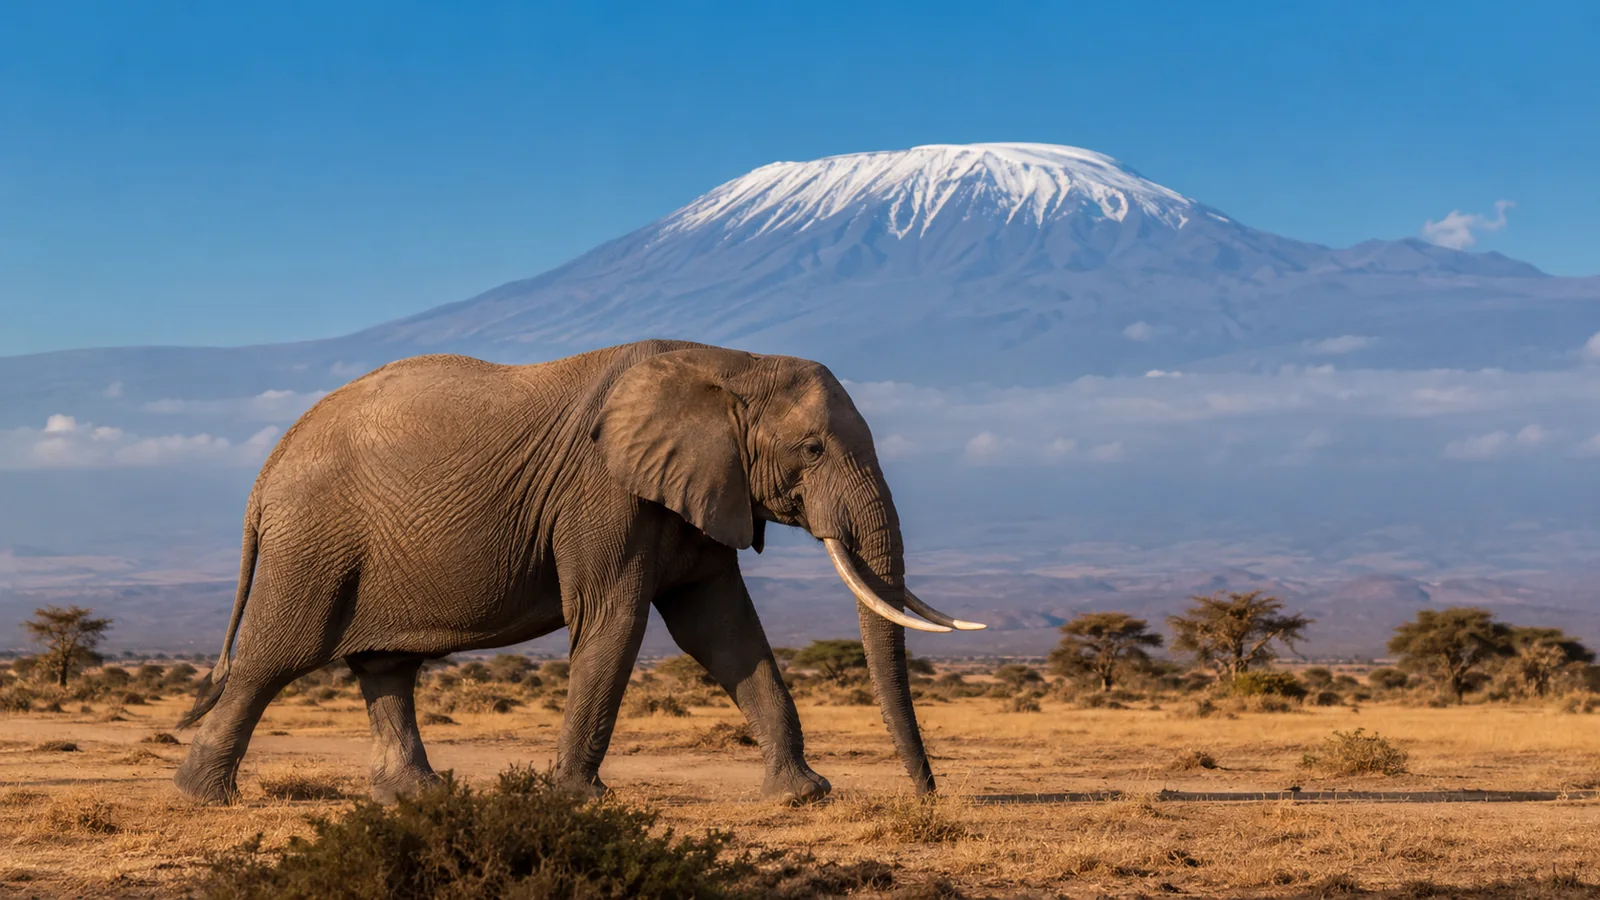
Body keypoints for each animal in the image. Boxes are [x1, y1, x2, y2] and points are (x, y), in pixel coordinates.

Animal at [172, 339, 983, 805]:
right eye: (812, 449)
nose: (928, 797)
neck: (729, 364)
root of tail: (265, 471)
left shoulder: (696, 489)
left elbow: (722, 632)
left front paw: (802, 797)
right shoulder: (601, 490)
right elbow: (614, 620)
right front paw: (578, 801)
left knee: (385, 667)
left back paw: (423, 799)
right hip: (314, 543)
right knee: (277, 657)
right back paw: (204, 796)